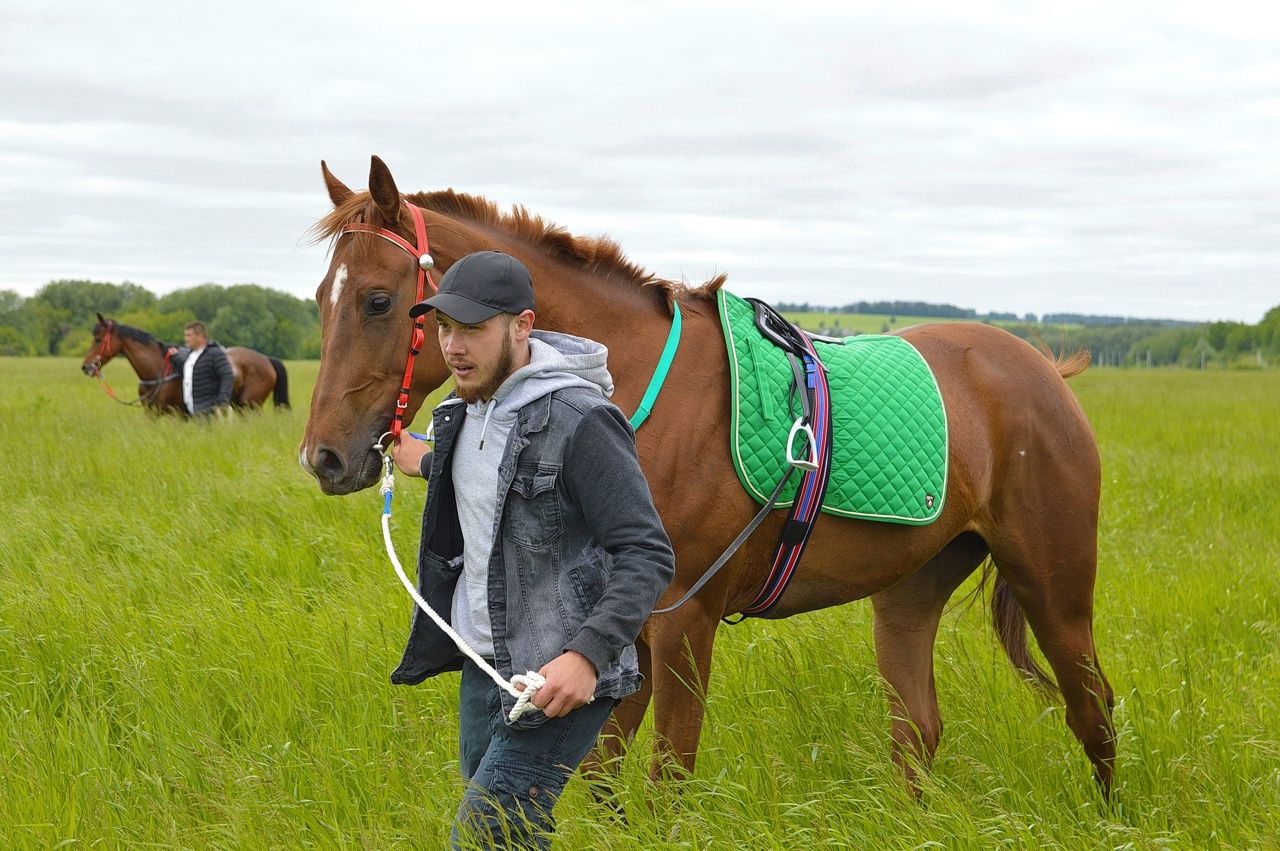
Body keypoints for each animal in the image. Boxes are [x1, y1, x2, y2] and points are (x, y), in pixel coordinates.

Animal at [81, 314, 290, 414]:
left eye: (98, 339)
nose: (86, 366)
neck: (158, 372)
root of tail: (267, 360)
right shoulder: (152, 413)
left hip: (250, 405)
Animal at [296, 156, 1111, 793]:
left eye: (379, 300)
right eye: (320, 302)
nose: (324, 456)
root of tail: (1044, 368)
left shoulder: (684, 619)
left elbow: (667, 777)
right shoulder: (619, 628)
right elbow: (599, 774)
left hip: (1054, 587)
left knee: (1093, 710)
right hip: (909, 593)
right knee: (918, 729)